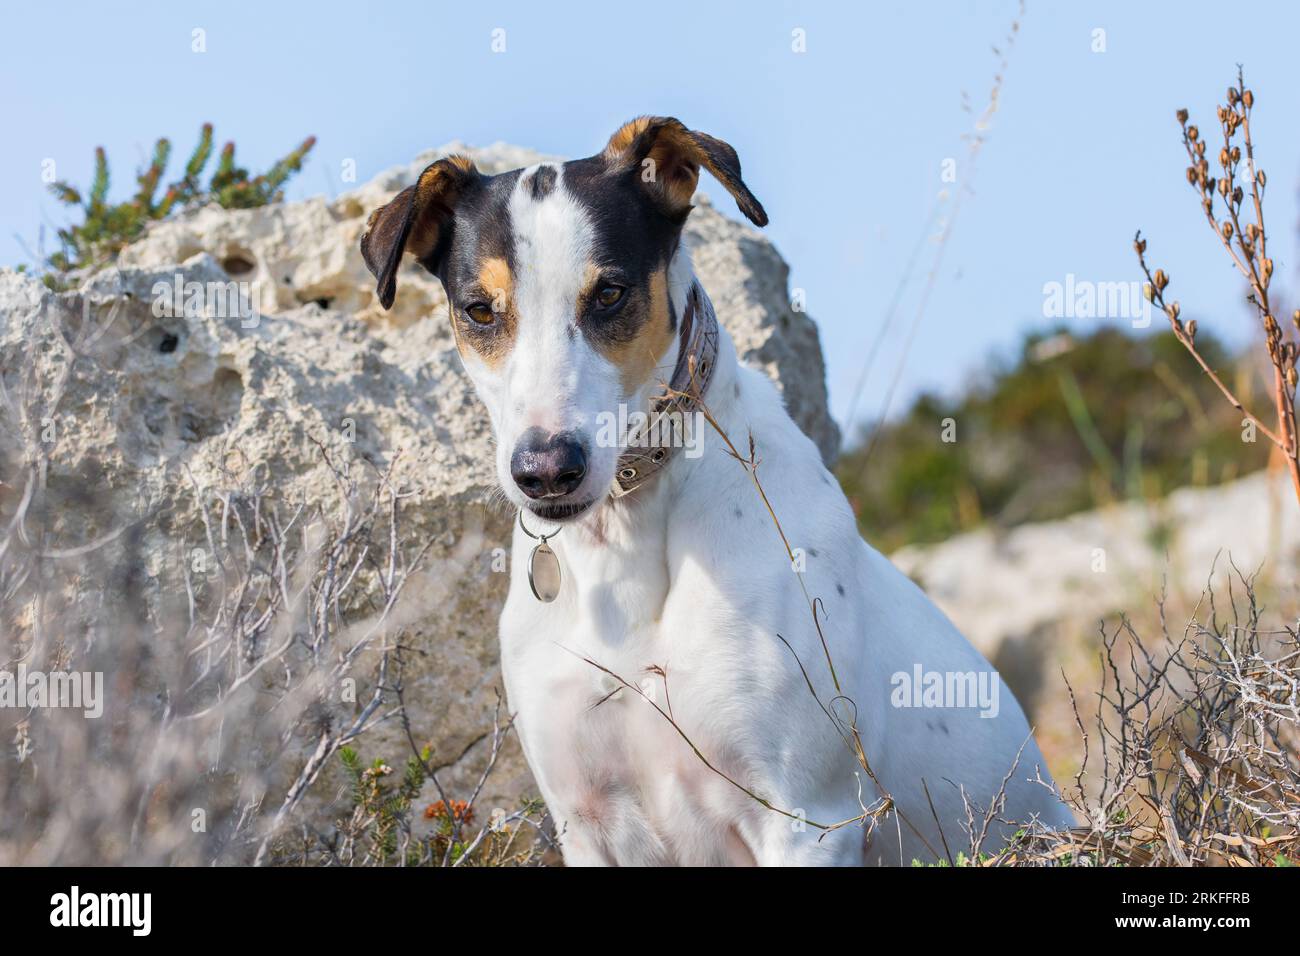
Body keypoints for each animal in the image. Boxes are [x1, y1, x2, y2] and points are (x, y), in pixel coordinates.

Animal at [361, 115, 1071, 863]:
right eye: (479, 310)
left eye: (609, 293)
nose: (547, 469)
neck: (625, 543)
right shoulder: (583, 821)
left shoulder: (807, 820)